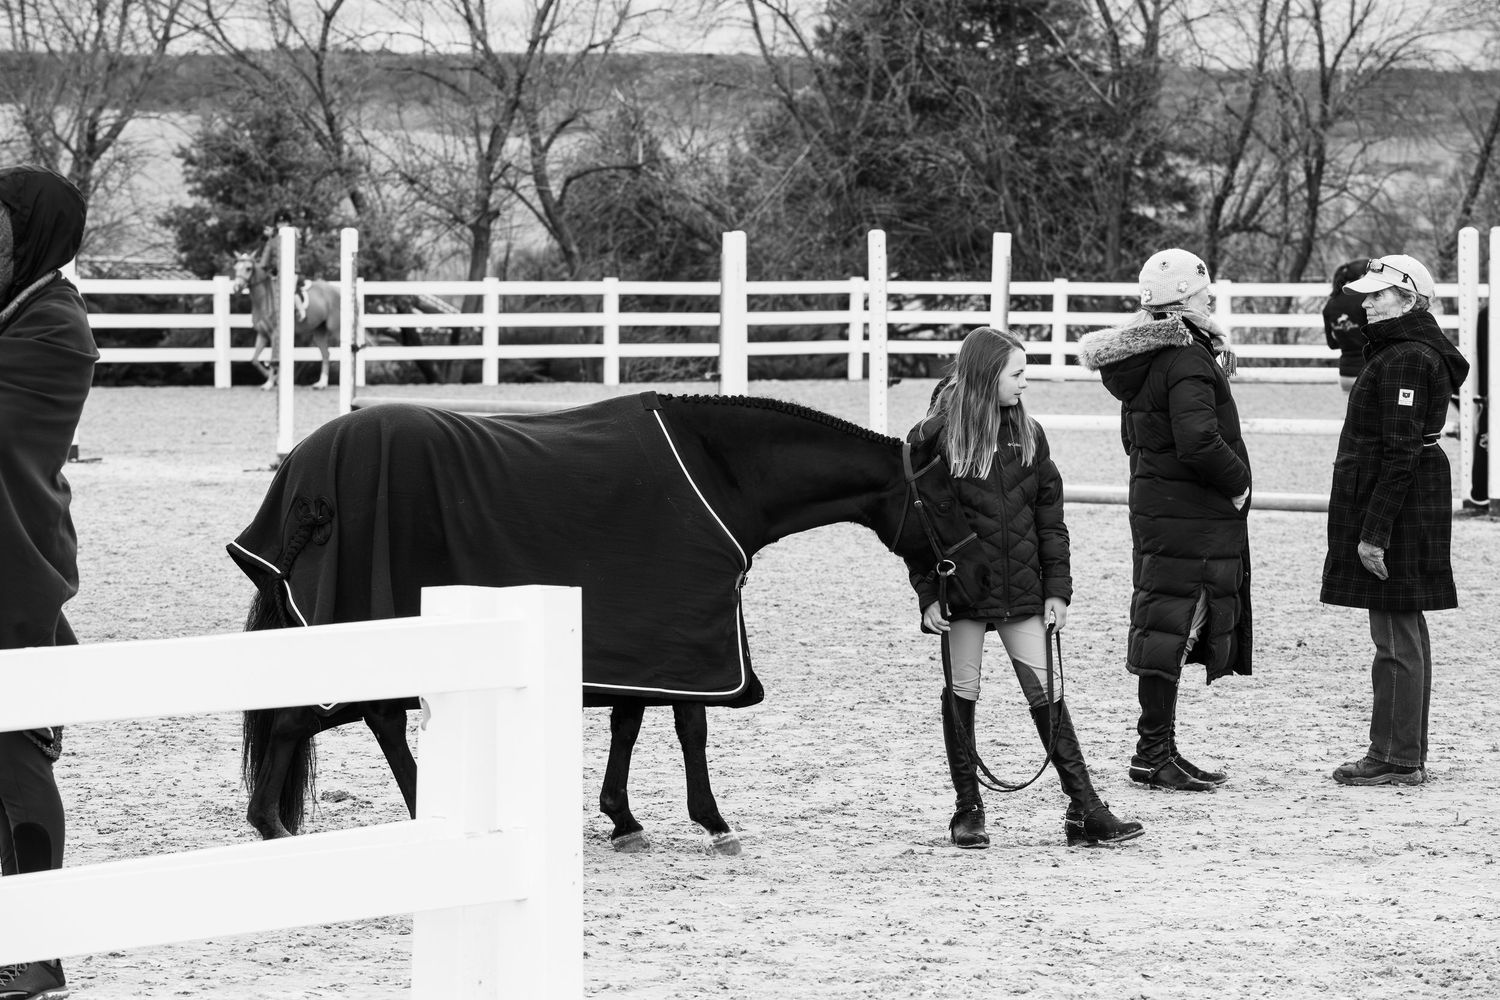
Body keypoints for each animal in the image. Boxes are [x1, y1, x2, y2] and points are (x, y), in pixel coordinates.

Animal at [227, 392, 983, 854]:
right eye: (946, 499)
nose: (968, 581)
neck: (725, 474)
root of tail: (305, 472)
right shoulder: (687, 626)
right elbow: (688, 725)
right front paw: (714, 823)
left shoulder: (644, 635)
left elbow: (630, 718)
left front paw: (623, 819)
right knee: (347, 712)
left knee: (328, 714)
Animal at [230, 252, 341, 391]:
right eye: (235, 268)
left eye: (248, 268)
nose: (236, 287)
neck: (262, 300)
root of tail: (337, 290)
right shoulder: (262, 334)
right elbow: (254, 359)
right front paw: (271, 378)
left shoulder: (274, 334)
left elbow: (273, 359)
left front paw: (269, 383)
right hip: (319, 332)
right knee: (326, 354)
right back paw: (321, 384)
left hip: (336, 329)